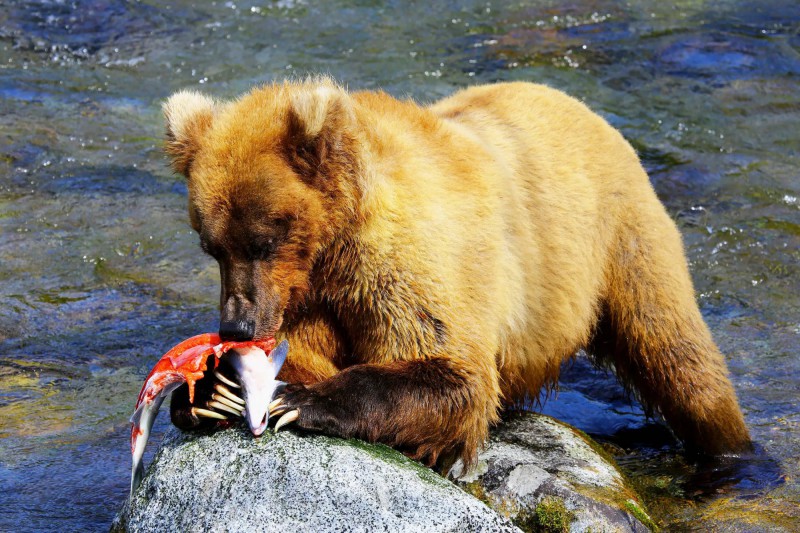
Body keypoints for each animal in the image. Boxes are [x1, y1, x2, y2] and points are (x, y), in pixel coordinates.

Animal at [161, 77, 752, 468]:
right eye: (212, 246)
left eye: (263, 240)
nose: (237, 325)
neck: (334, 245)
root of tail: (578, 103)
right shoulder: (306, 294)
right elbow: (304, 352)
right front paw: (212, 387)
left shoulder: (407, 261)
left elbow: (451, 371)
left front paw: (300, 403)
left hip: (620, 239)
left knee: (676, 353)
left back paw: (734, 452)